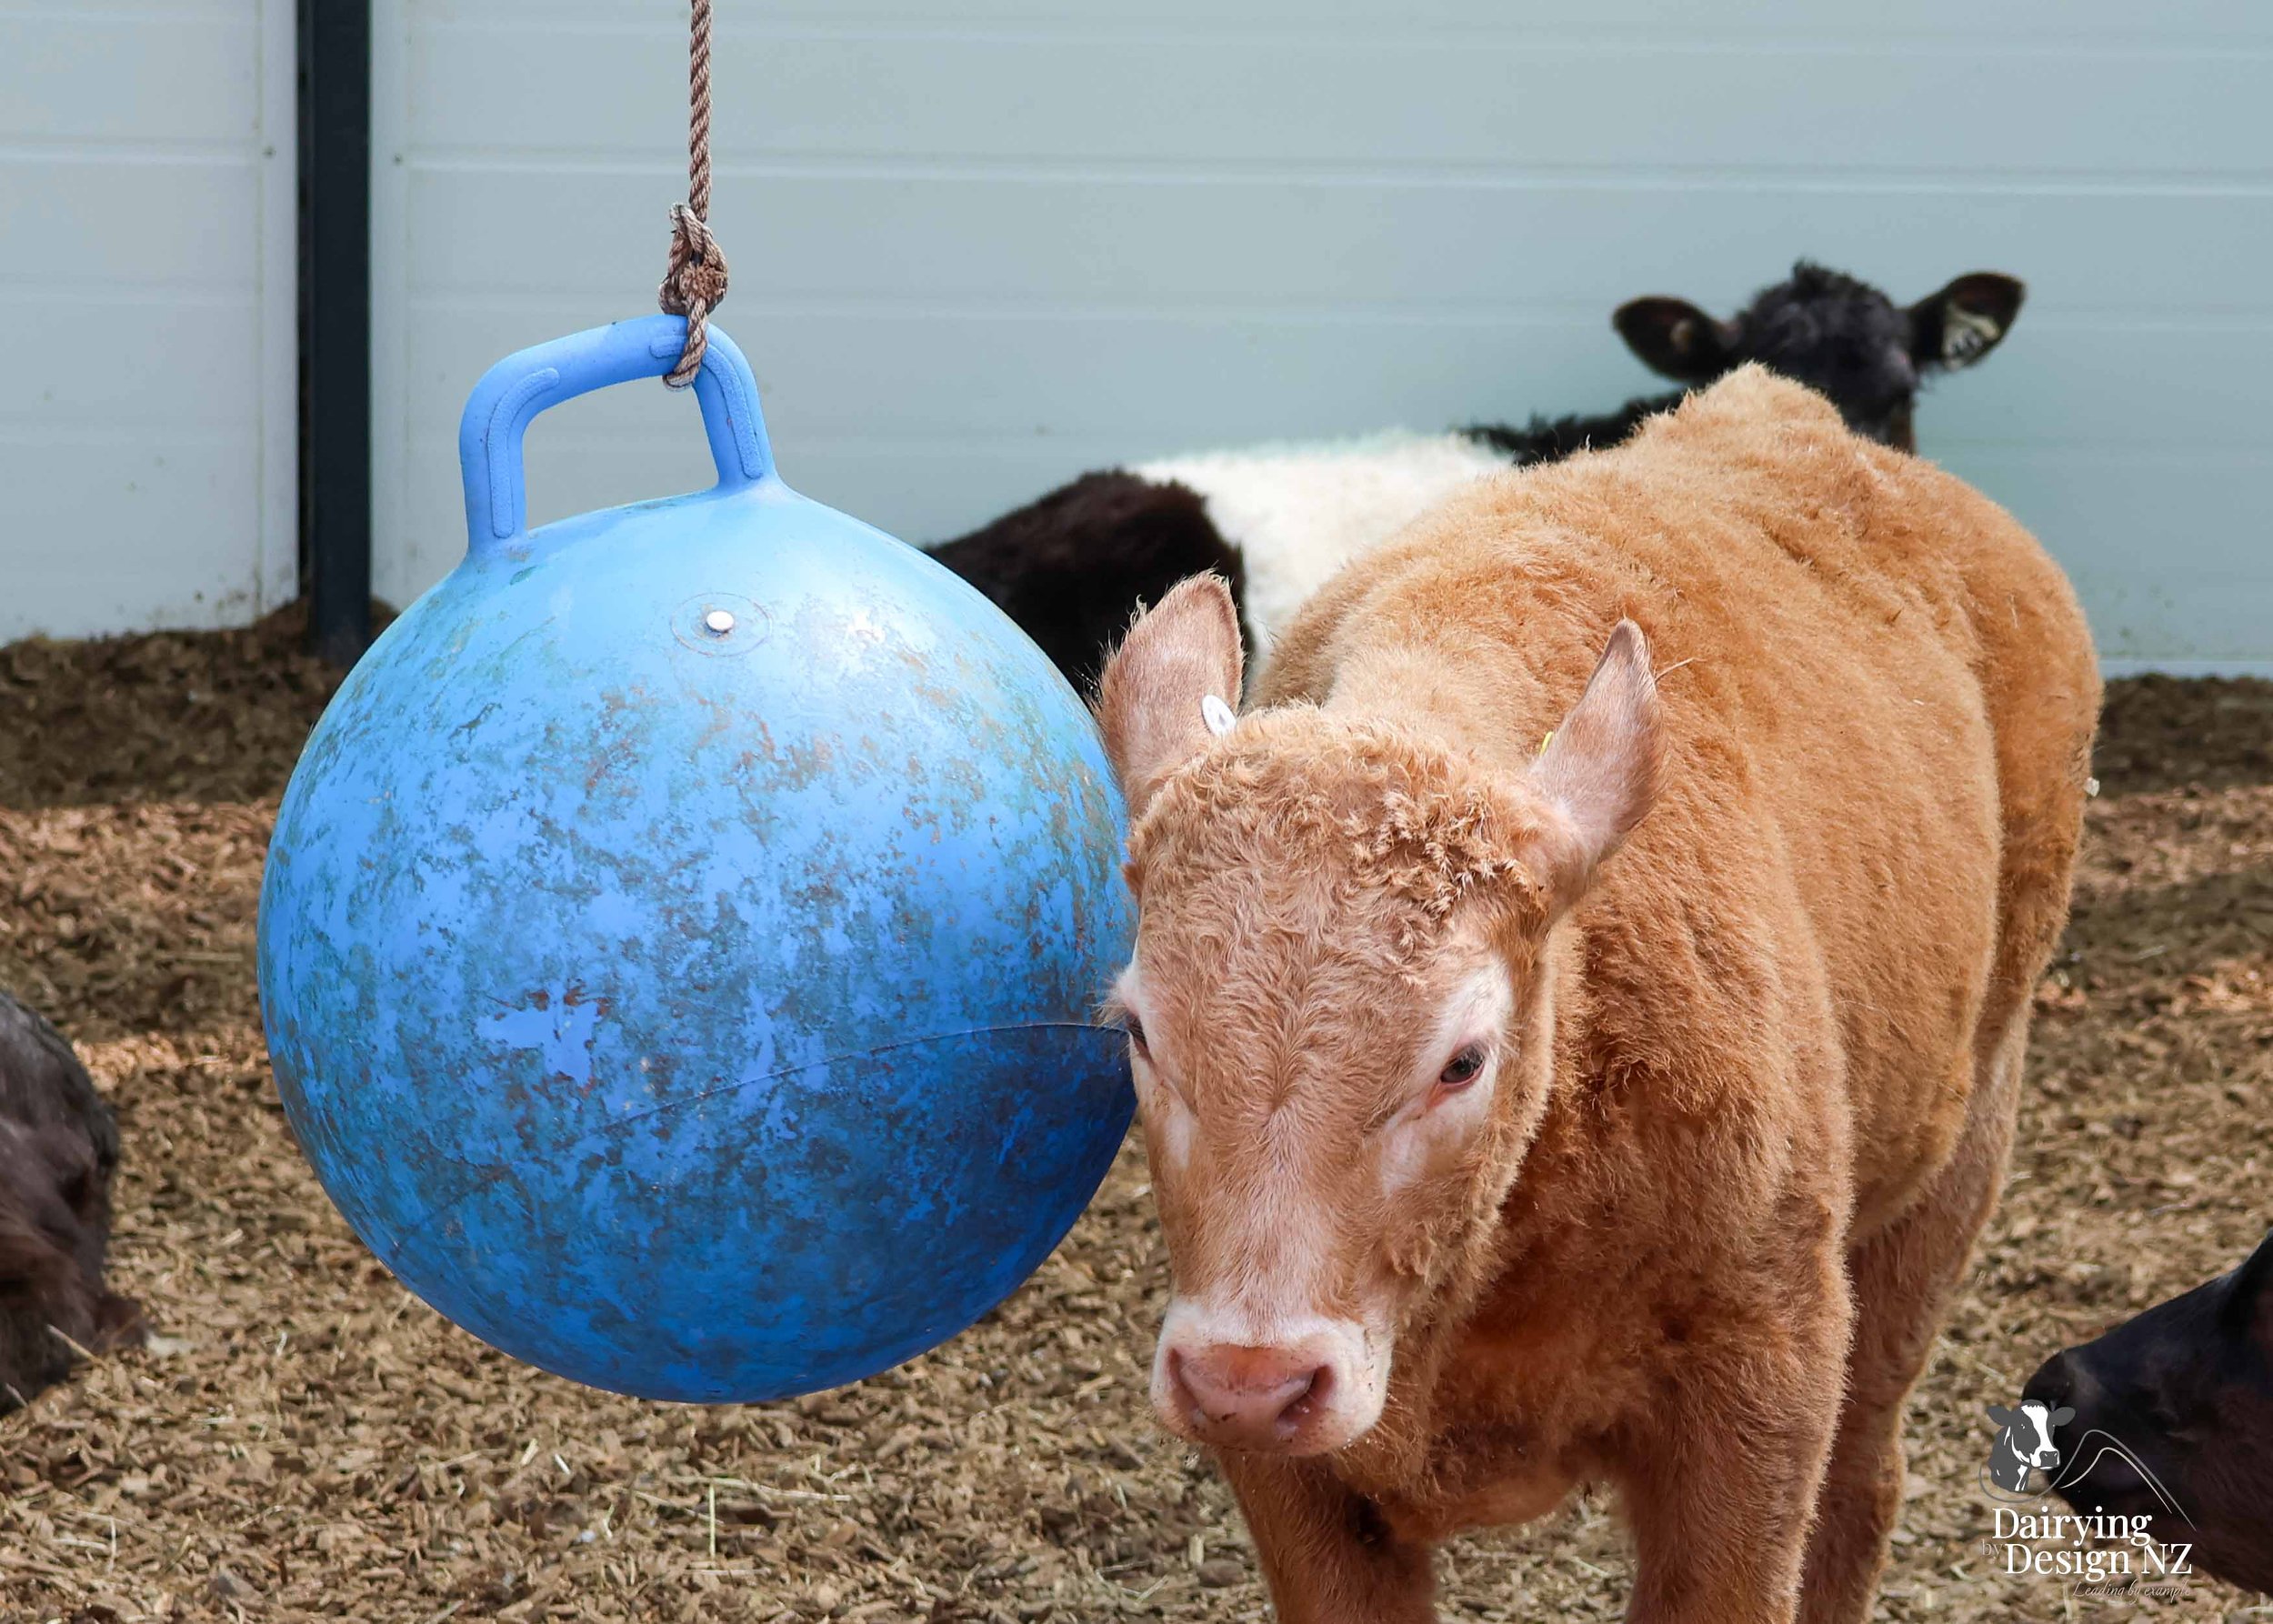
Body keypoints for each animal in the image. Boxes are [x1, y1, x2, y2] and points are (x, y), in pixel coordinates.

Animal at [1092, 366, 2097, 1623]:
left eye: (1462, 1058)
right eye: (1140, 1031)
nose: (1250, 1379)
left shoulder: (1763, 1383)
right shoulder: (1295, 1485)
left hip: (1948, 1173)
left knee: (1862, 1482)